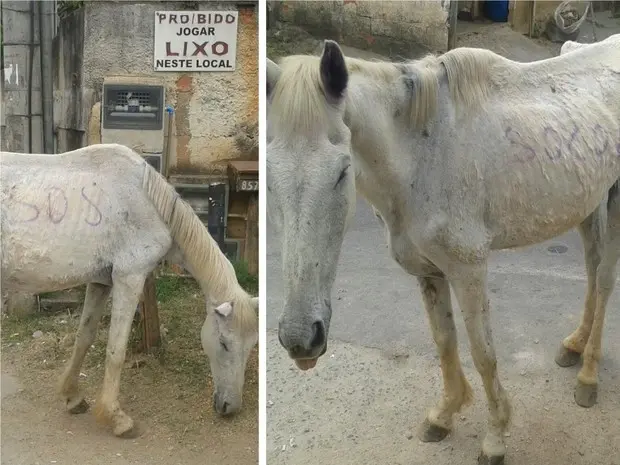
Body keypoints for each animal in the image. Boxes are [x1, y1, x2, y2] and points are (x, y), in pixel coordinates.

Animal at [0, 143, 256, 436]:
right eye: (224, 343)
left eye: (251, 345)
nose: (230, 407)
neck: (147, 201)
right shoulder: (130, 278)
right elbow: (116, 350)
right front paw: (116, 417)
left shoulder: (101, 282)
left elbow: (84, 338)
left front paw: (72, 397)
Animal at [268, 33, 620, 464]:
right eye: (268, 176)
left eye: (342, 171)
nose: (301, 338)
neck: (424, 154)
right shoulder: (429, 271)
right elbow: (445, 342)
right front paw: (444, 415)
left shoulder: (469, 271)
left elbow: (483, 353)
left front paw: (495, 437)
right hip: (589, 203)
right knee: (592, 271)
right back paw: (575, 346)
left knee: (605, 280)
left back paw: (588, 376)